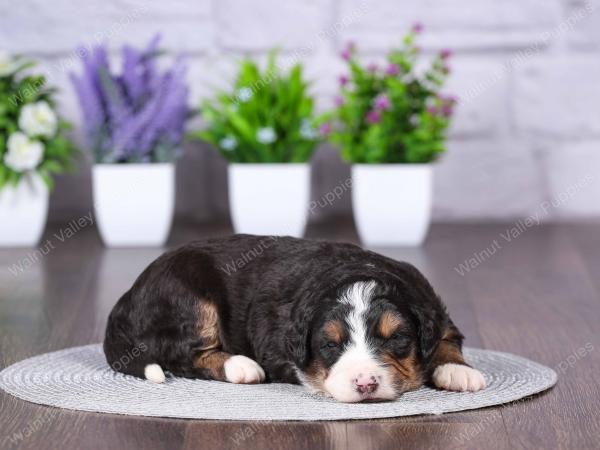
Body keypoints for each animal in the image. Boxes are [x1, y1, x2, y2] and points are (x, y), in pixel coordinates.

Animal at [105, 234, 486, 402]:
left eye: (397, 339)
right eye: (330, 345)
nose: (365, 384)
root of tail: (128, 296)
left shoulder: (434, 307)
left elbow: (447, 341)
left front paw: (459, 372)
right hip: (190, 298)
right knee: (180, 354)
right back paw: (240, 366)